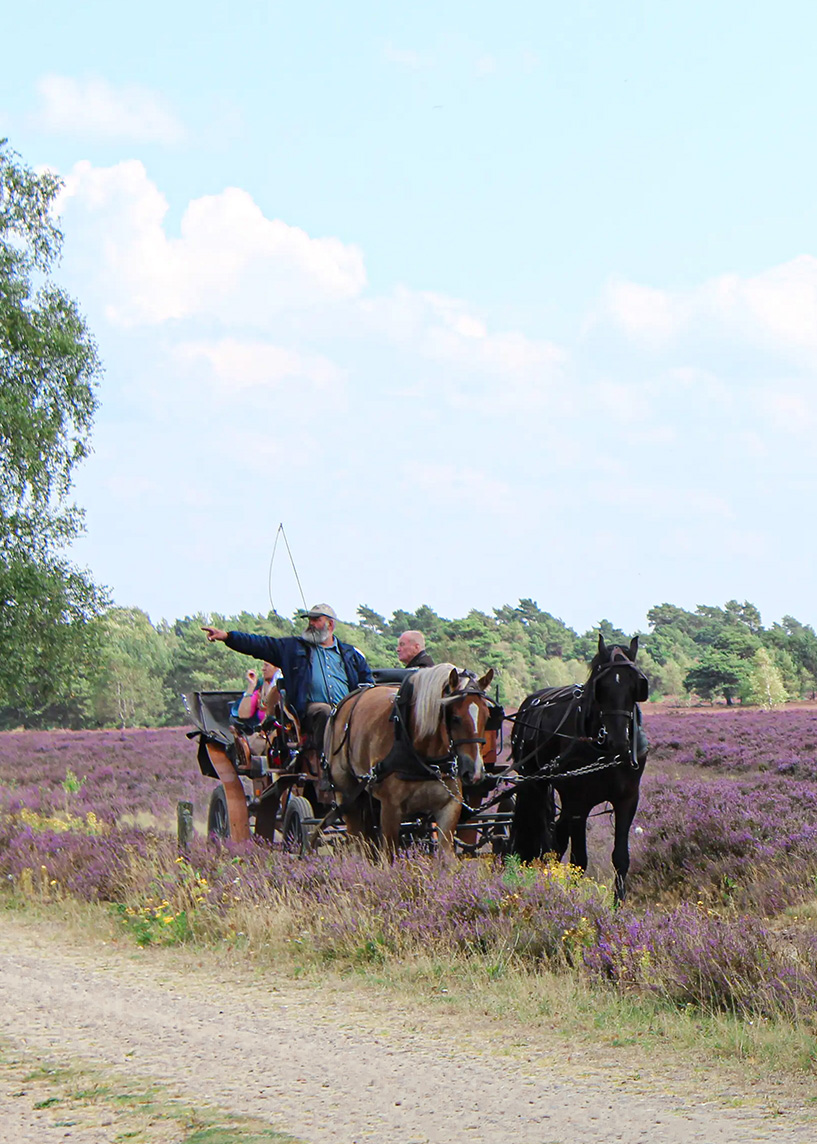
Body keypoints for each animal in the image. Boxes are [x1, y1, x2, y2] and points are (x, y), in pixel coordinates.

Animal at [322, 663, 489, 860]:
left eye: (487, 716)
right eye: (455, 718)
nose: (475, 772)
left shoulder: (450, 806)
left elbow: (446, 856)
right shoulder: (390, 809)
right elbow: (390, 856)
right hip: (347, 794)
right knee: (357, 841)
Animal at [505, 636, 645, 901]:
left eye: (636, 685)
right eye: (601, 687)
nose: (619, 742)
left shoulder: (627, 800)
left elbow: (621, 858)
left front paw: (618, 905)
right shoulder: (579, 803)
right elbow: (578, 860)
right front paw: (571, 900)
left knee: (556, 837)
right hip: (534, 783)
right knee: (538, 832)